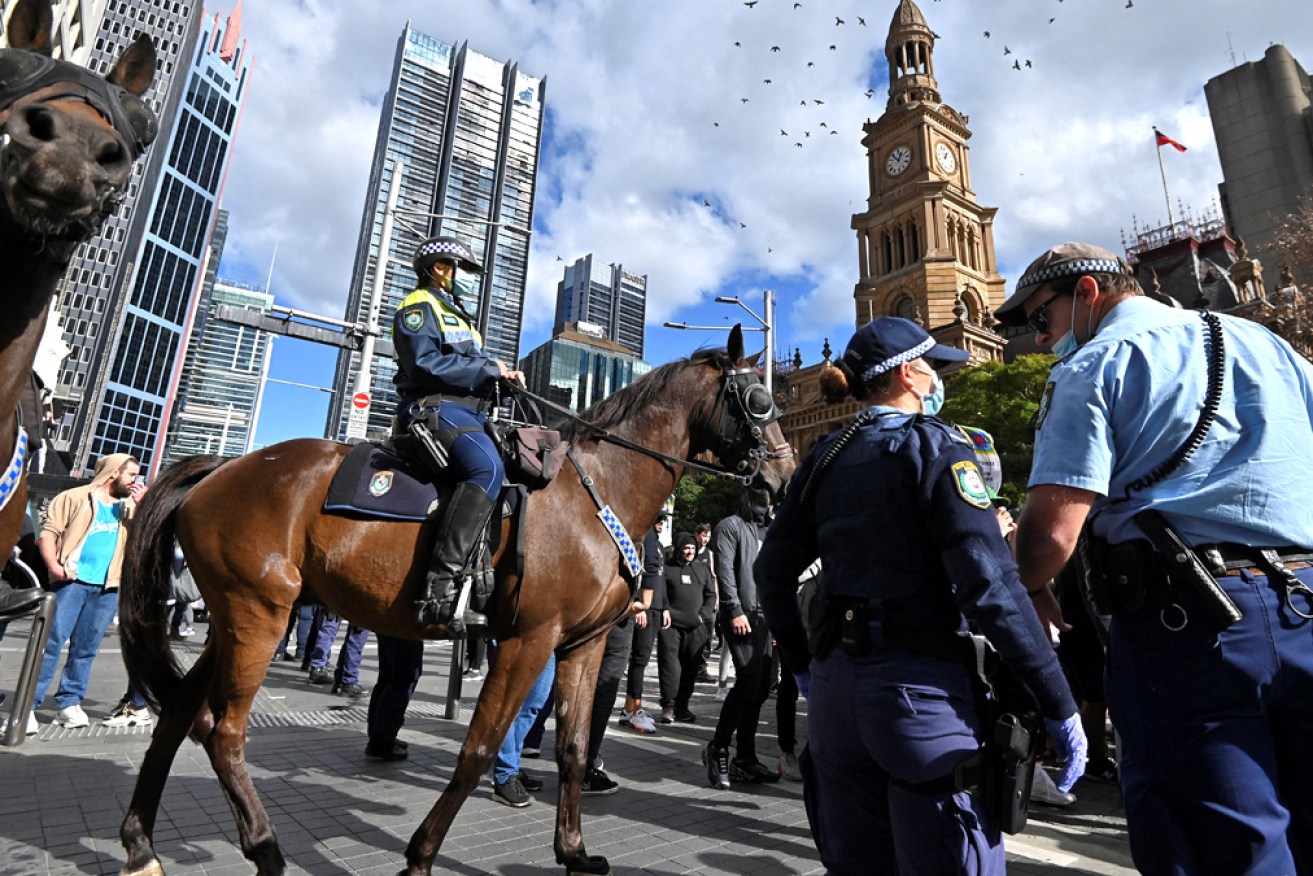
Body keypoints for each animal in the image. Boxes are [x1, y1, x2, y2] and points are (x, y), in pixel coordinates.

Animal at [115, 325, 787, 872]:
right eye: (760, 402)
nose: (782, 478)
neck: (597, 490)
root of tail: (221, 468)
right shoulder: (526, 639)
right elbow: (480, 747)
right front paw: (421, 854)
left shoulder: (584, 644)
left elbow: (572, 749)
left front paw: (574, 852)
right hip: (259, 614)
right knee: (223, 730)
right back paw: (265, 848)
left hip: (233, 617)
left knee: (178, 714)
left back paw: (142, 844)